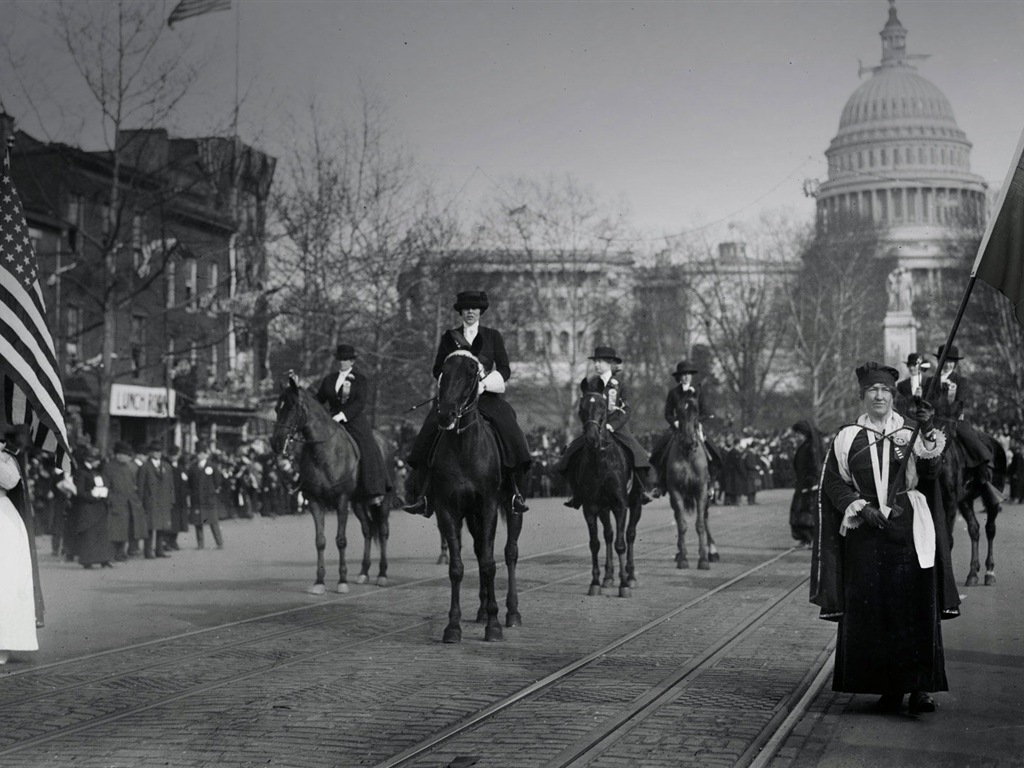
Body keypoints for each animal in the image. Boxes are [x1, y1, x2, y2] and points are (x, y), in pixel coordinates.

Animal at [270, 378, 389, 593]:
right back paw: (364, 572)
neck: (325, 451)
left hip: (383, 500)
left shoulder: (341, 501)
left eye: (292, 407)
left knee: (383, 531)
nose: (275, 443)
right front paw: (319, 582)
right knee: (367, 529)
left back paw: (382, 574)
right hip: (358, 502)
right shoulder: (315, 501)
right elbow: (320, 541)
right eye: (276, 408)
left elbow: (341, 540)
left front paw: (342, 581)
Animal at [428, 354, 520, 643]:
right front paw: (453, 626)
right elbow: (457, 567)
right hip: (472, 517)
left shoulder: (489, 506)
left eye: (472, 373)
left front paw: (494, 625)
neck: (464, 448)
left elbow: (491, 564)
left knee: (510, 553)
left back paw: (512, 612)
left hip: (512, 508)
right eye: (443, 372)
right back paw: (481, 610)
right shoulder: (448, 510)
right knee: (480, 551)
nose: (445, 414)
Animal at [569, 391, 638, 593]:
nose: (592, 438)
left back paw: (630, 576)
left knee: (630, 534)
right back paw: (608, 577)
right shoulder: (591, 507)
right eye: (581, 408)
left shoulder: (621, 505)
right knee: (608, 535)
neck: (601, 461)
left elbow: (621, 544)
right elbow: (595, 543)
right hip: (604, 509)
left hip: (635, 504)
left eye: (603, 406)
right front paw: (595, 582)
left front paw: (624, 585)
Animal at [663, 397, 720, 573]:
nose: (689, 441)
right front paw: (683, 558)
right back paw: (678, 553)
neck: (687, 454)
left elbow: (700, 524)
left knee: (705, 517)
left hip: (707, 495)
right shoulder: (675, 491)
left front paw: (703, 560)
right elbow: (682, 524)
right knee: (678, 517)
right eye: (679, 412)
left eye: (696, 411)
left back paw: (713, 551)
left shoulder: (701, 490)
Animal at [933, 423, 1003, 585]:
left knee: (990, 529)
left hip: (992, 501)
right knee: (974, 529)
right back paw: (972, 573)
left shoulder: (950, 502)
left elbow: (947, 539)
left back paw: (989, 572)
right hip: (965, 501)